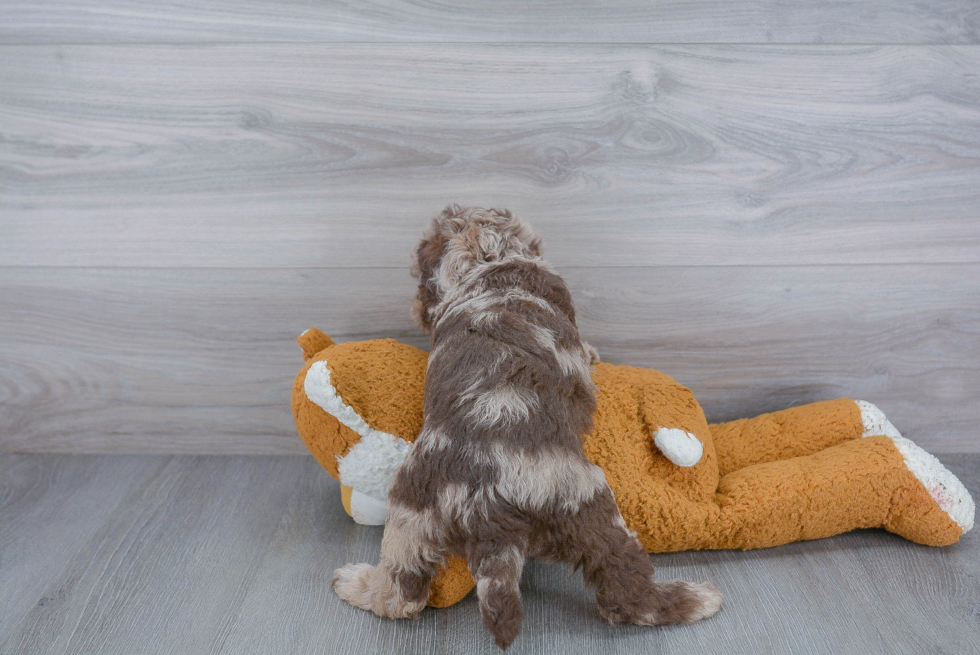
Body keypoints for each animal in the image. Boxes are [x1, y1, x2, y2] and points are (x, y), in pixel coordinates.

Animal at [334, 206, 724, 652]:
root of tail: (486, 498)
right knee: (625, 592)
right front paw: (593, 353)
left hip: (419, 508)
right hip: (583, 506)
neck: (487, 255)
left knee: (402, 590)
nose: (416, 310)